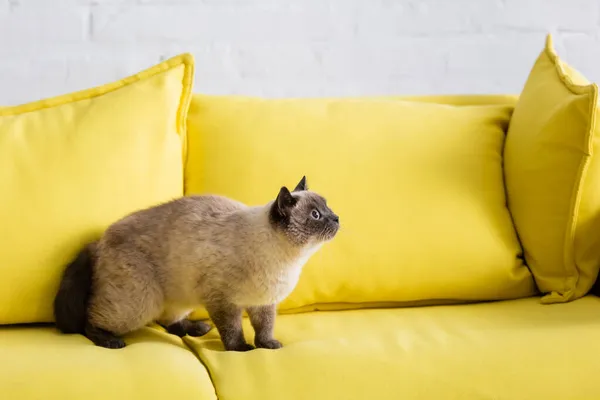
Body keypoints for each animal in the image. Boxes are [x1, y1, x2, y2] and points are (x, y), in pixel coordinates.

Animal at [54, 177, 340, 352]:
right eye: (316, 215)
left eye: (327, 208)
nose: (337, 218)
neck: (288, 260)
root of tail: (99, 241)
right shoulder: (223, 301)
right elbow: (232, 330)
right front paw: (240, 349)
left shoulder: (263, 303)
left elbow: (264, 328)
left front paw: (267, 345)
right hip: (141, 301)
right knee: (91, 320)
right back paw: (110, 341)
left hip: (181, 295)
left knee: (169, 321)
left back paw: (197, 329)